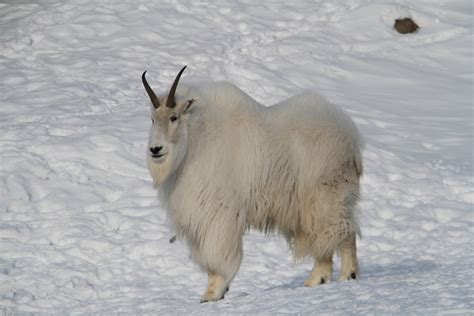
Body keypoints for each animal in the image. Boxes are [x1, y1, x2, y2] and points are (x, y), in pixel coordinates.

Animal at [141, 66, 362, 302]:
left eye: (173, 117)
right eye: (152, 119)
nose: (155, 149)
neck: (195, 136)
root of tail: (352, 139)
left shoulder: (218, 213)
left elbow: (218, 255)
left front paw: (213, 293)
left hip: (329, 196)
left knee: (343, 232)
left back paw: (347, 275)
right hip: (308, 209)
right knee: (325, 242)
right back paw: (315, 281)